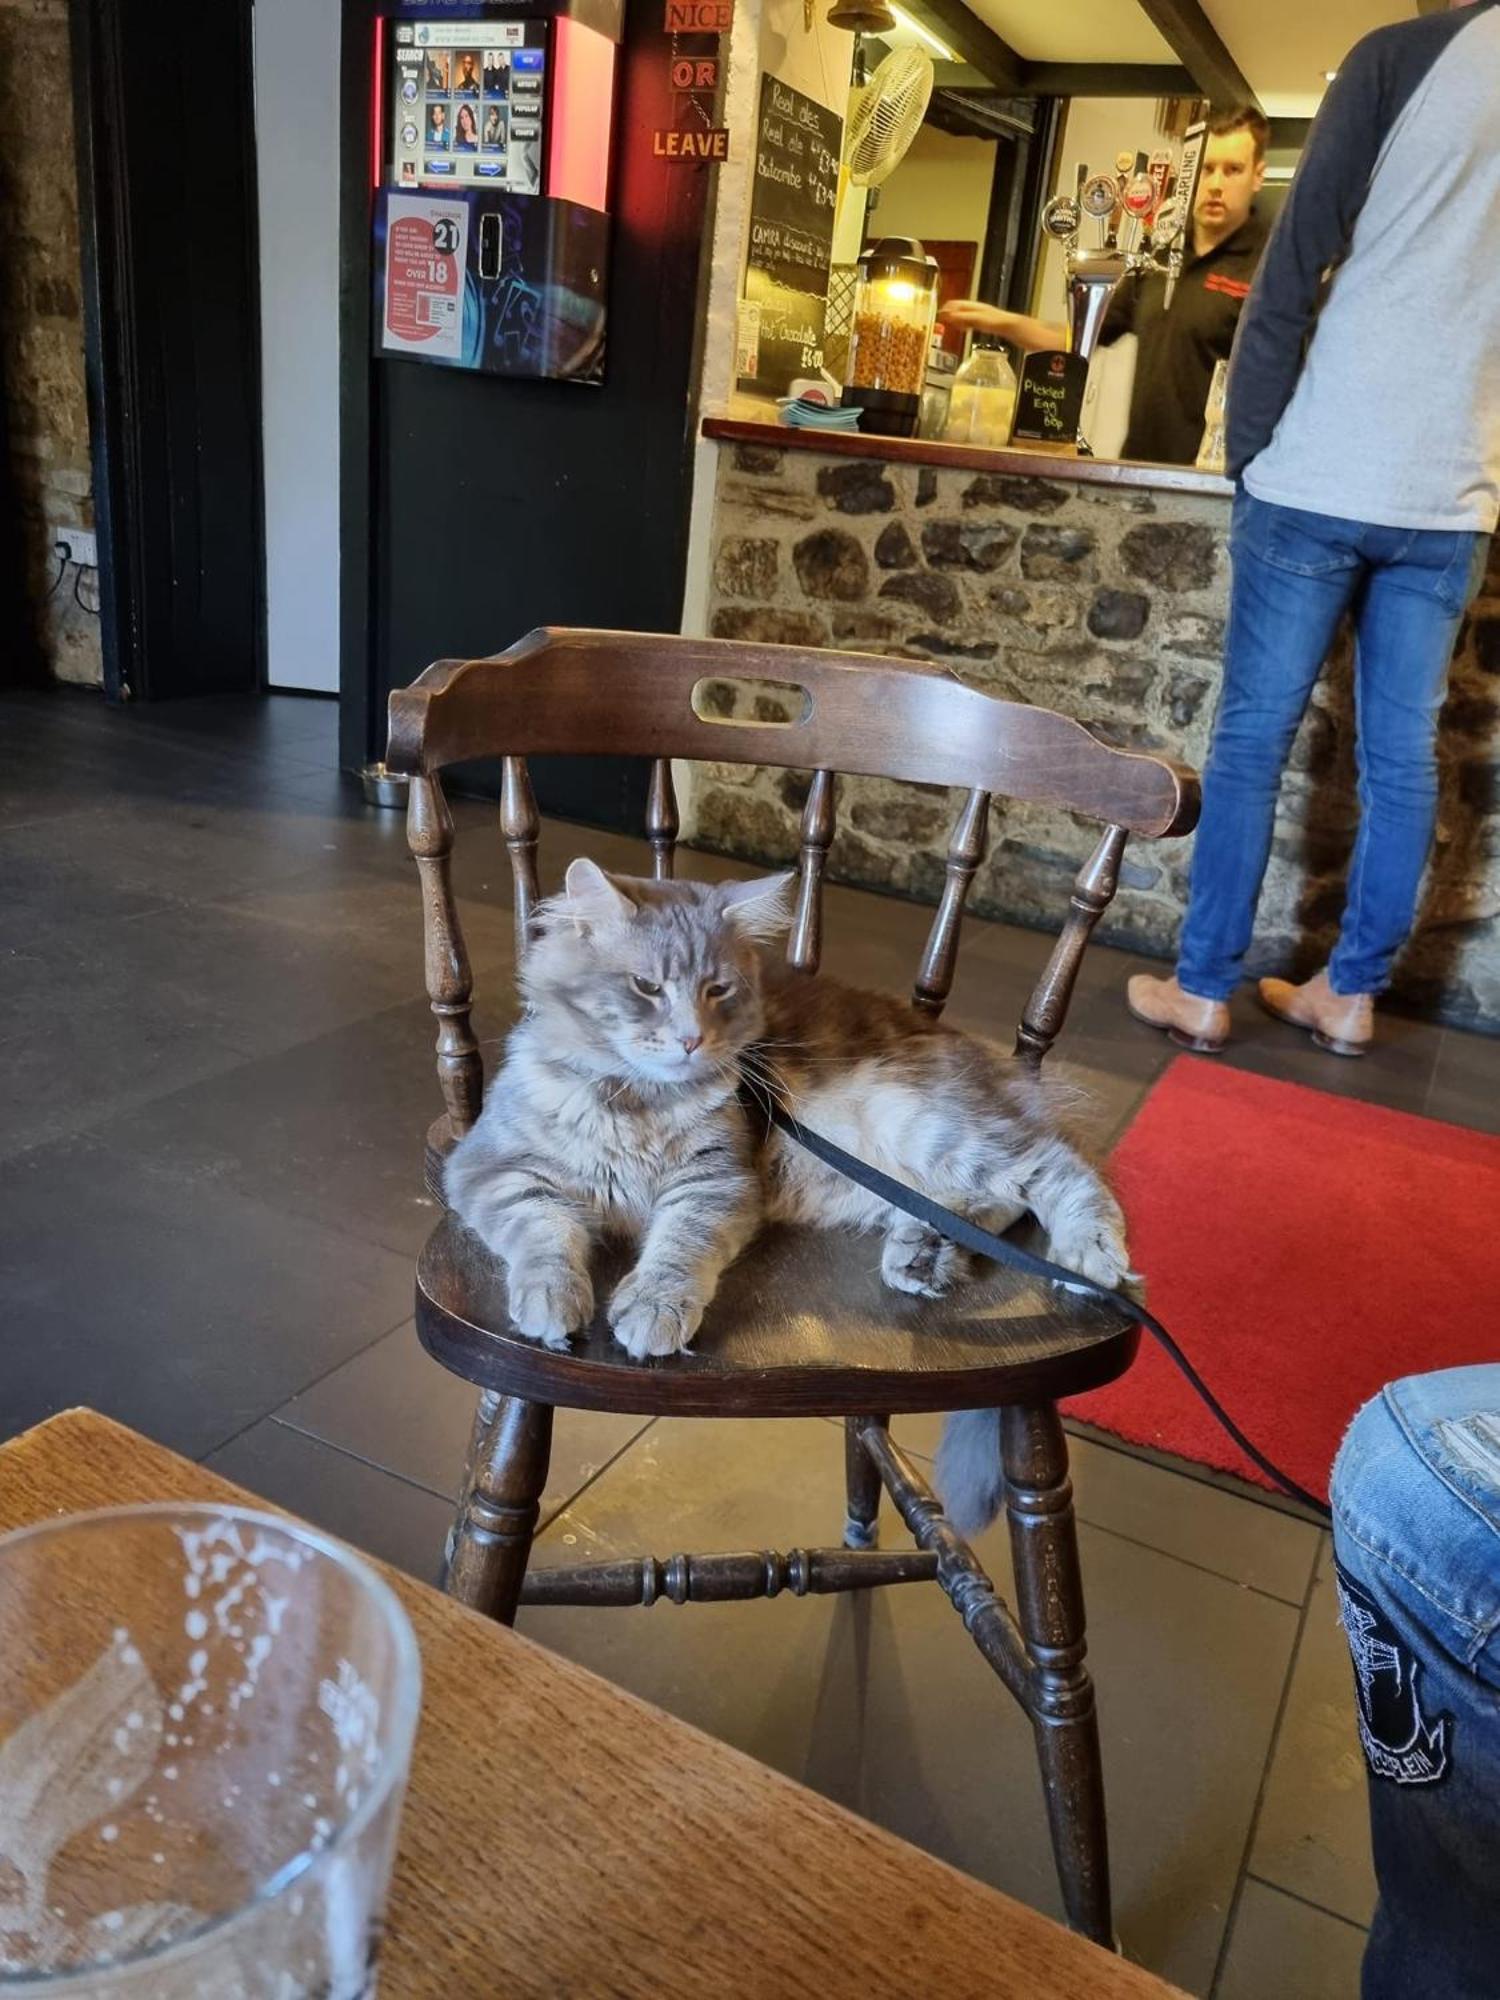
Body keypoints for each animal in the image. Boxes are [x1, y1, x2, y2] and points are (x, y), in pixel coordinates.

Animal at [452, 860, 1136, 1528]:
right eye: (646, 987)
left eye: (717, 990)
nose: (691, 1039)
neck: (638, 1101)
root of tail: (1002, 1068)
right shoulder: (491, 1169)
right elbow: (545, 1233)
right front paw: (552, 1298)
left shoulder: (717, 1181)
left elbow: (675, 1250)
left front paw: (652, 1307)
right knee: (979, 1204)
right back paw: (924, 1253)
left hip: (922, 1125)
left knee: (1054, 1166)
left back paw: (1088, 1257)